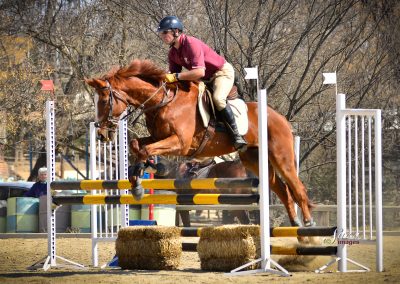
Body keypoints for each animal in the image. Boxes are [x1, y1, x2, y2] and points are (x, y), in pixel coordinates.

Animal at [86, 58, 314, 227]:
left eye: (104, 101)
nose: (102, 135)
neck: (163, 101)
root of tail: (280, 117)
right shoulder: (158, 137)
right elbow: (137, 145)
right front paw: (143, 174)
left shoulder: (180, 143)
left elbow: (145, 149)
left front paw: (142, 182)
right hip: (253, 158)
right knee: (282, 189)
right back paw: (295, 223)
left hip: (281, 156)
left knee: (297, 187)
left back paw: (308, 223)